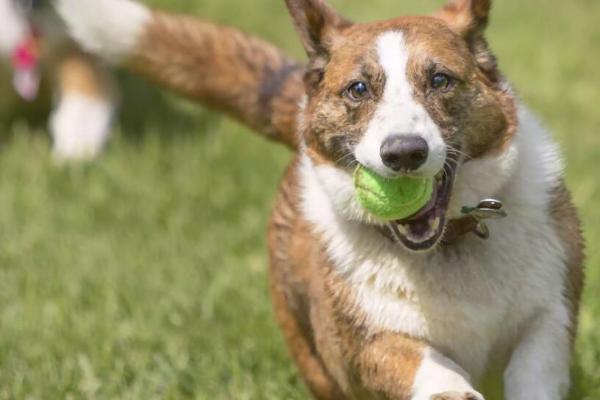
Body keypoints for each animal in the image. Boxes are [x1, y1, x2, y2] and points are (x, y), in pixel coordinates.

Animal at [57, 0, 584, 398]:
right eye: (358, 89)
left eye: (439, 80)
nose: (404, 153)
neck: (447, 247)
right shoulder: (368, 342)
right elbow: (426, 366)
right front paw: (452, 389)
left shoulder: (551, 312)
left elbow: (535, 364)